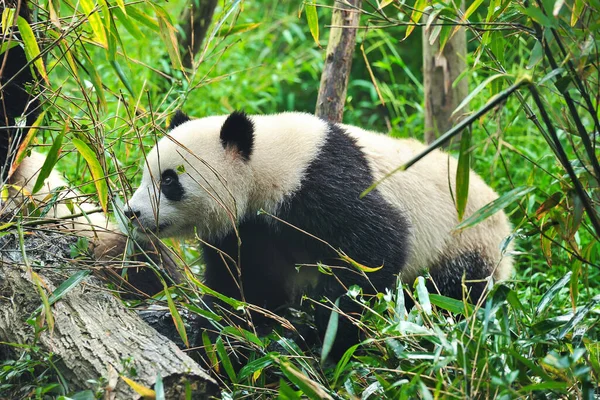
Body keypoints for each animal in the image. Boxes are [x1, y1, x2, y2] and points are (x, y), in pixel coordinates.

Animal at [124, 110, 512, 356]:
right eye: (145, 174)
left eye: (169, 180)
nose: (132, 212)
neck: (266, 162)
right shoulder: (250, 229)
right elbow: (244, 283)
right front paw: (224, 331)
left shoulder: (321, 184)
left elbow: (376, 248)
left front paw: (330, 336)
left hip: (464, 241)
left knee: (454, 292)